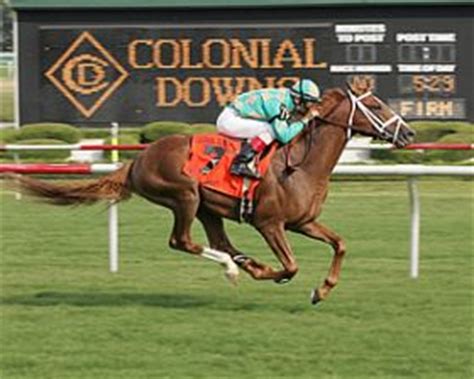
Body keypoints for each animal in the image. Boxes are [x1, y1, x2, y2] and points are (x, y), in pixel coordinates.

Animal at [9, 83, 412, 306]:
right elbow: (291, 266)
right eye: (374, 106)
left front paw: (321, 290)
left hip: (208, 207)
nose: (407, 133)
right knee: (182, 241)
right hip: (184, 196)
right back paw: (236, 268)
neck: (301, 163)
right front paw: (274, 274)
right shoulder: (270, 223)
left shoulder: (303, 221)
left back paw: (244, 263)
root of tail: (138, 159)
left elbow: (340, 244)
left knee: (220, 241)